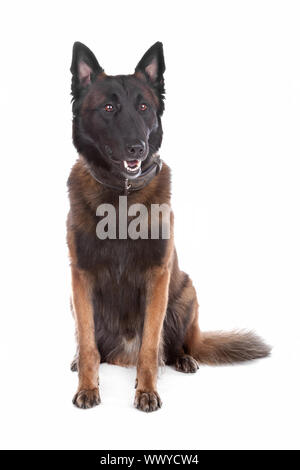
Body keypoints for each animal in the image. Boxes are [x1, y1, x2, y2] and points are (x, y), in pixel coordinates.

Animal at [68, 41, 272, 412]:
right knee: (91, 343)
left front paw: (146, 389)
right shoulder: (81, 275)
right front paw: (88, 386)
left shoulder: (158, 275)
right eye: (108, 108)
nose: (137, 147)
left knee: (174, 345)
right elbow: (88, 344)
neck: (122, 197)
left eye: (144, 107)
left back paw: (182, 359)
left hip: (186, 290)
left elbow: (151, 346)